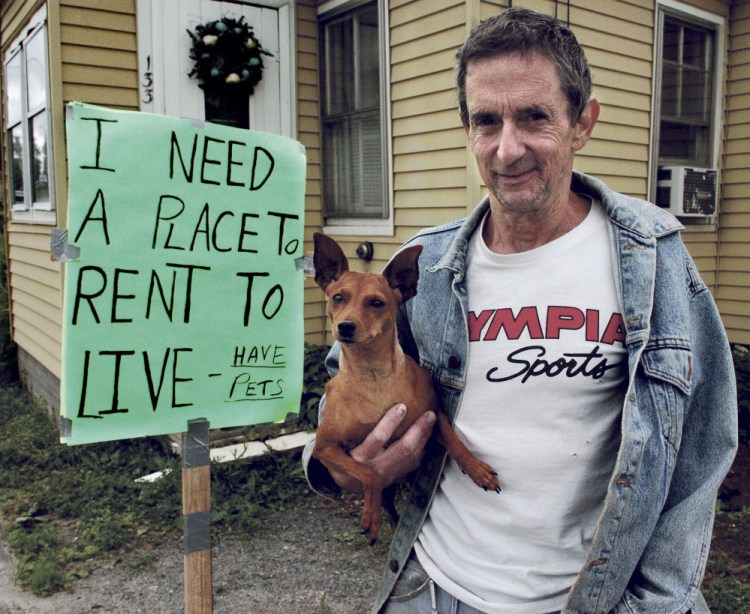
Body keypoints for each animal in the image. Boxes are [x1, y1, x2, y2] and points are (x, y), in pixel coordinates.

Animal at [312, 232, 500, 544]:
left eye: (376, 303)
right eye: (338, 297)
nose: (345, 326)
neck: (375, 378)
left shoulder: (434, 413)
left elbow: (454, 441)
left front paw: (476, 468)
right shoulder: (325, 447)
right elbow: (369, 472)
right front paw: (369, 516)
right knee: (387, 499)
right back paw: (384, 521)